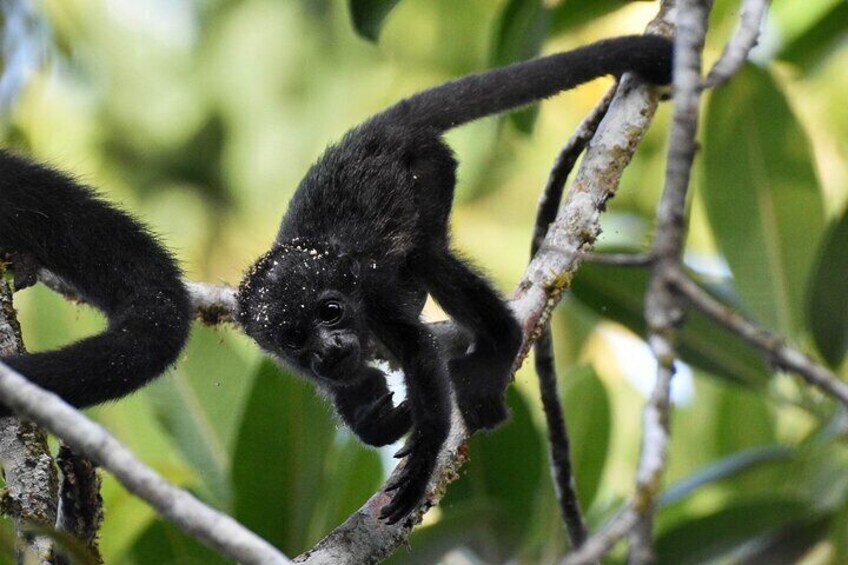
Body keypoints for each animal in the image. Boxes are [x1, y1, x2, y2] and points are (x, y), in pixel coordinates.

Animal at [235, 34, 672, 520]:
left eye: (332, 311)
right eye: (295, 337)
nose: (329, 346)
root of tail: (381, 126)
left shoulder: (372, 295)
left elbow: (420, 353)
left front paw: (422, 461)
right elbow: (347, 386)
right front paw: (378, 414)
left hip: (428, 168)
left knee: (428, 255)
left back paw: (500, 341)